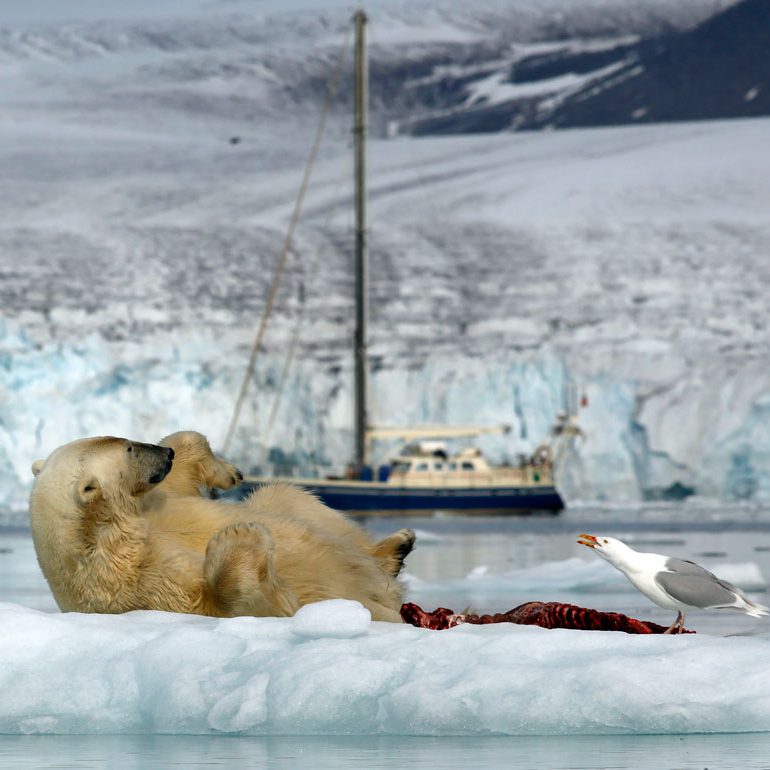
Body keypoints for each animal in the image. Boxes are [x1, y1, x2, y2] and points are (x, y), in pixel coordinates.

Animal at [28, 428, 414, 620]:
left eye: (124, 440)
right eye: (128, 449)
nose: (163, 455)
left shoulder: (153, 506)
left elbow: (179, 477)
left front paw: (225, 471)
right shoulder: (133, 582)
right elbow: (237, 604)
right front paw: (239, 535)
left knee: (287, 497)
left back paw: (395, 547)